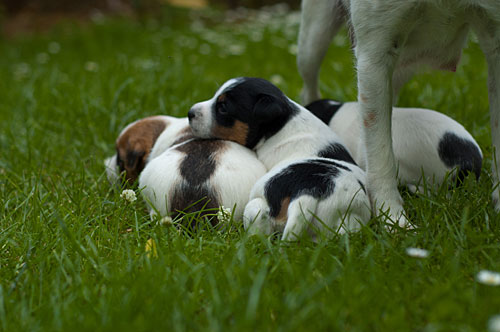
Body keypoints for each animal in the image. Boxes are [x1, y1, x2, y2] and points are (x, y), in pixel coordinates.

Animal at [188, 76, 372, 240]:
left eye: (223, 107)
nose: (190, 113)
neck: (281, 125)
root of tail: (308, 193)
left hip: (255, 207)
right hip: (346, 221)